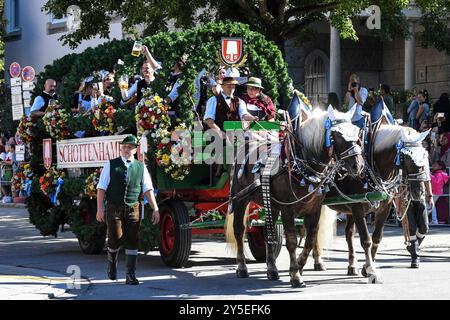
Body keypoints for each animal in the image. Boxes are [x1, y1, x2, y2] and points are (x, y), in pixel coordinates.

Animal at [227, 107, 368, 288]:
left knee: (268, 233)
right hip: (240, 199)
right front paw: (295, 275)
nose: (358, 165)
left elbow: (310, 239)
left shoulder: (314, 209)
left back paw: (272, 269)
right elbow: (292, 241)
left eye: (357, 133)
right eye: (337, 135)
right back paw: (242, 267)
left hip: (271, 204)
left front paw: (300, 266)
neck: (299, 163)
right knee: (239, 230)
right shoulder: (287, 209)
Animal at [312, 125, 428, 282]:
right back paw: (318, 261)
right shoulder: (357, 208)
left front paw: (366, 267)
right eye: (408, 158)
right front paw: (371, 270)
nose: (419, 192)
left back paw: (351, 266)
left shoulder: (384, 208)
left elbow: (376, 238)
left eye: (424, 156)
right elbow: (366, 239)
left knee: (347, 233)